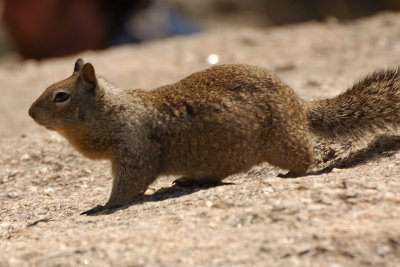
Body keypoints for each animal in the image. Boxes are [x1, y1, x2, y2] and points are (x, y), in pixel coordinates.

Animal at [28, 59, 400, 216]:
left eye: (61, 96)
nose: (31, 113)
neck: (115, 110)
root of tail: (299, 104)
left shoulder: (134, 150)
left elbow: (128, 185)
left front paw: (103, 206)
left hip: (282, 142)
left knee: (305, 158)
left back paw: (293, 172)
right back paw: (190, 180)